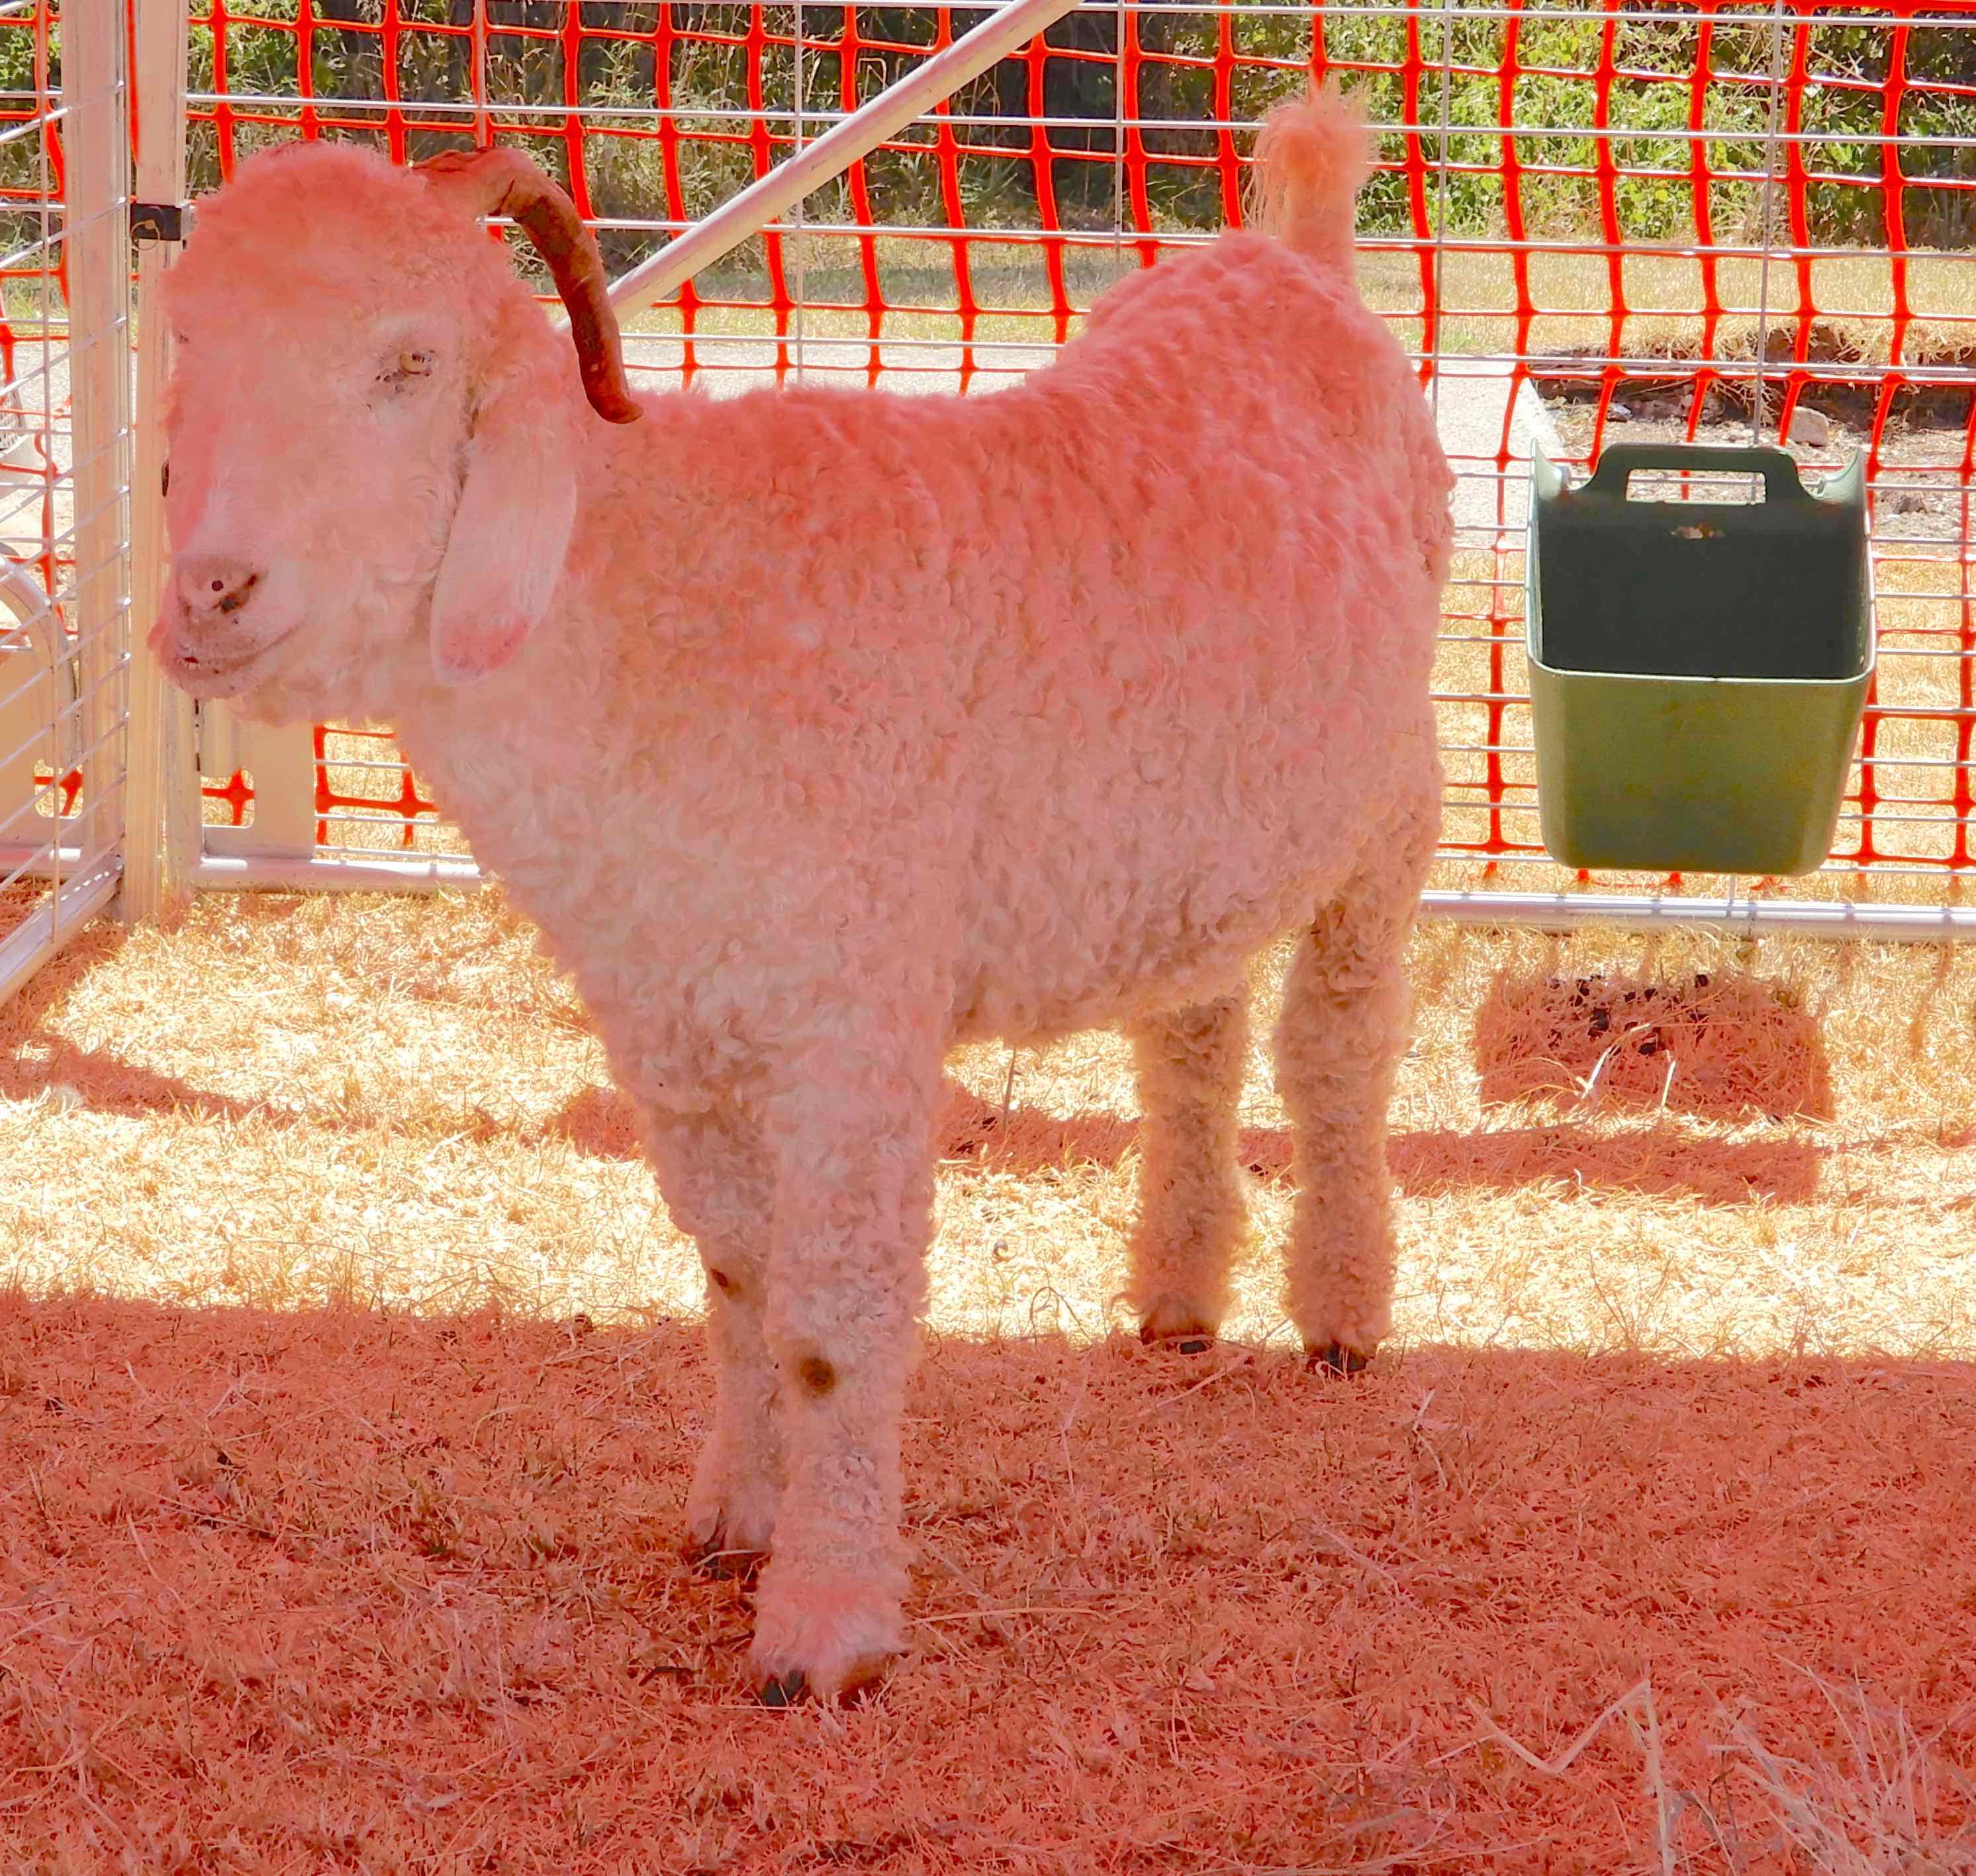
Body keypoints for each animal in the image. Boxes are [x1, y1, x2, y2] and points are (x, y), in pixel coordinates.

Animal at [151, 84, 1454, 1705]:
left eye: (410, 363)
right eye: (187, 343)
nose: (212, 593)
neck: (654, 617)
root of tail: (1301, 250)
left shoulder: (851, 1026)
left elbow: (830, 1324)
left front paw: (826, 1622)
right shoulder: (679, 1030)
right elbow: (737, 1280)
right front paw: (737, 1516)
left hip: (1391, 807)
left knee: (1336, 1052)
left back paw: (1338, 1311)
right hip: (1194, 845)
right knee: (1195, 1043)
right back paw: (1175, 1293)